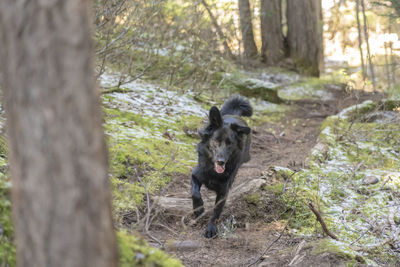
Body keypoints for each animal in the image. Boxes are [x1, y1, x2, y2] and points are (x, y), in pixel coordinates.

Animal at [191, 95, 253, 238]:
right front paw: (198, 209)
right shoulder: (196, 174)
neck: (213, 172)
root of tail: (233, 115)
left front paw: (211, 228)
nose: (221, 162)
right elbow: (195, 192)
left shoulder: (223, 192)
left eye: (230, 144)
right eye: (216, 141)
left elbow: (216, 212)